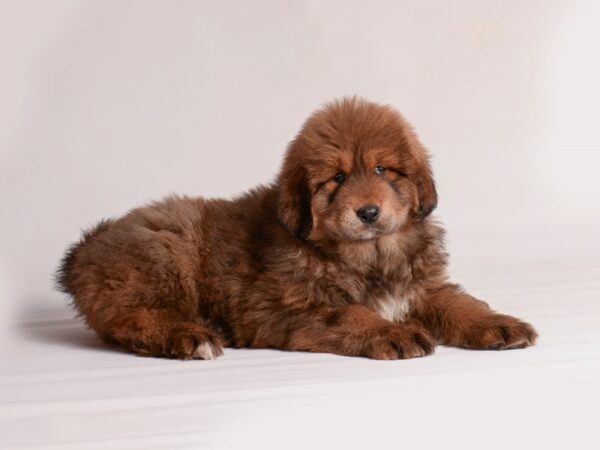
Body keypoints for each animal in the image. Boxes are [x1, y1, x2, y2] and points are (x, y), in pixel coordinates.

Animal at [56, 97, 536, 358]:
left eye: (382, 169)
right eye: (336, 178)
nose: (367, 212)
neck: (369, 254)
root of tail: (85, 246)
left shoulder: (422, 287)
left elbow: (461, 303)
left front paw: (500, 324)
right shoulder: (286, 307)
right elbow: (352, 313)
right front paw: (393, 333)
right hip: (164, 255)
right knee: (133, 317)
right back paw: (191, 336)